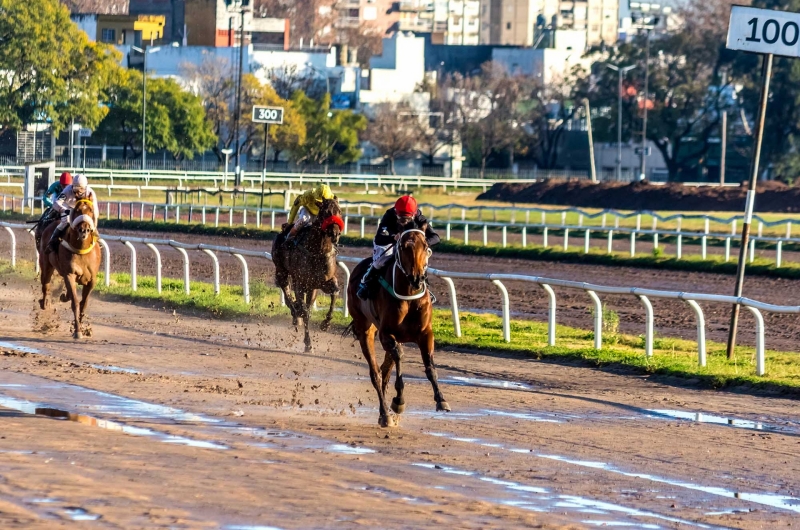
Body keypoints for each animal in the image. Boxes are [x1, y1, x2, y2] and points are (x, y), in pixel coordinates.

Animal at [38, 198, 101, 338]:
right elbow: (76, 303)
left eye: (91, 210)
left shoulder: (92, 280)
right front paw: (77, 330)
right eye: (77, 210)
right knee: (45, 284)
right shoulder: (69, 274)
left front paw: (82, 327)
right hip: (46, 264)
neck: (81, 249)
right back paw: (45, 302)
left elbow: (84, 304)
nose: (84, 230)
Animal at [272, 198, 344, 350]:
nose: (335, 234)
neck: (317, 250)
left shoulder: (323, 282)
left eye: (339, 211)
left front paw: (326, 323)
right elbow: (305, 311)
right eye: (326, 212)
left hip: (311, 287)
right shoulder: (300, 282)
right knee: (286, 289)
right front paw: (308, 343)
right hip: (281, 270)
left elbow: (335, 292)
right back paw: (295, 315)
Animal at [346, 229, 450, 426]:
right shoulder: (387, 334)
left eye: (425, 245)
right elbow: (399, 357)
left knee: (385, 372)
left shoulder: (425, 333)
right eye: (403, 247)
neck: (408, 294)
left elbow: (430, 367)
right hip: (365, 328)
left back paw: (384, 413)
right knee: (376, 373)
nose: (417, 278)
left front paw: (441, 400)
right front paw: (399, 401)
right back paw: (386, 415)